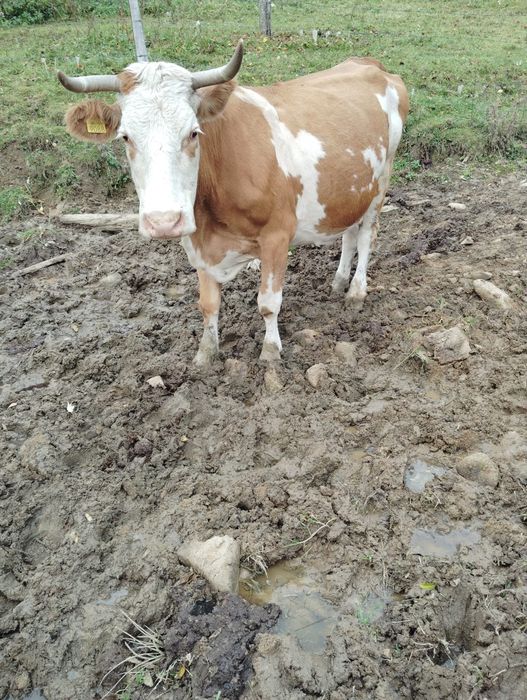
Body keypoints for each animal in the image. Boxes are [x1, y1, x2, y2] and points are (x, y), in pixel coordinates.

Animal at [58, 42, 408, 365]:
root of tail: (369, 64)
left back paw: (356, 291)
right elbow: (207, 304)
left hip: (382, 180)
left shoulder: (277, 235)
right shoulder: (198, 244)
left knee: (366, 235)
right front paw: (205, 354)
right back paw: (338, 282)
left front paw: (270, 352)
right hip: (351, 190)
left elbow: (268, 302)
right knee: (349, 233)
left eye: (193, 133)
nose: (164, 222)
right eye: (126, 137)